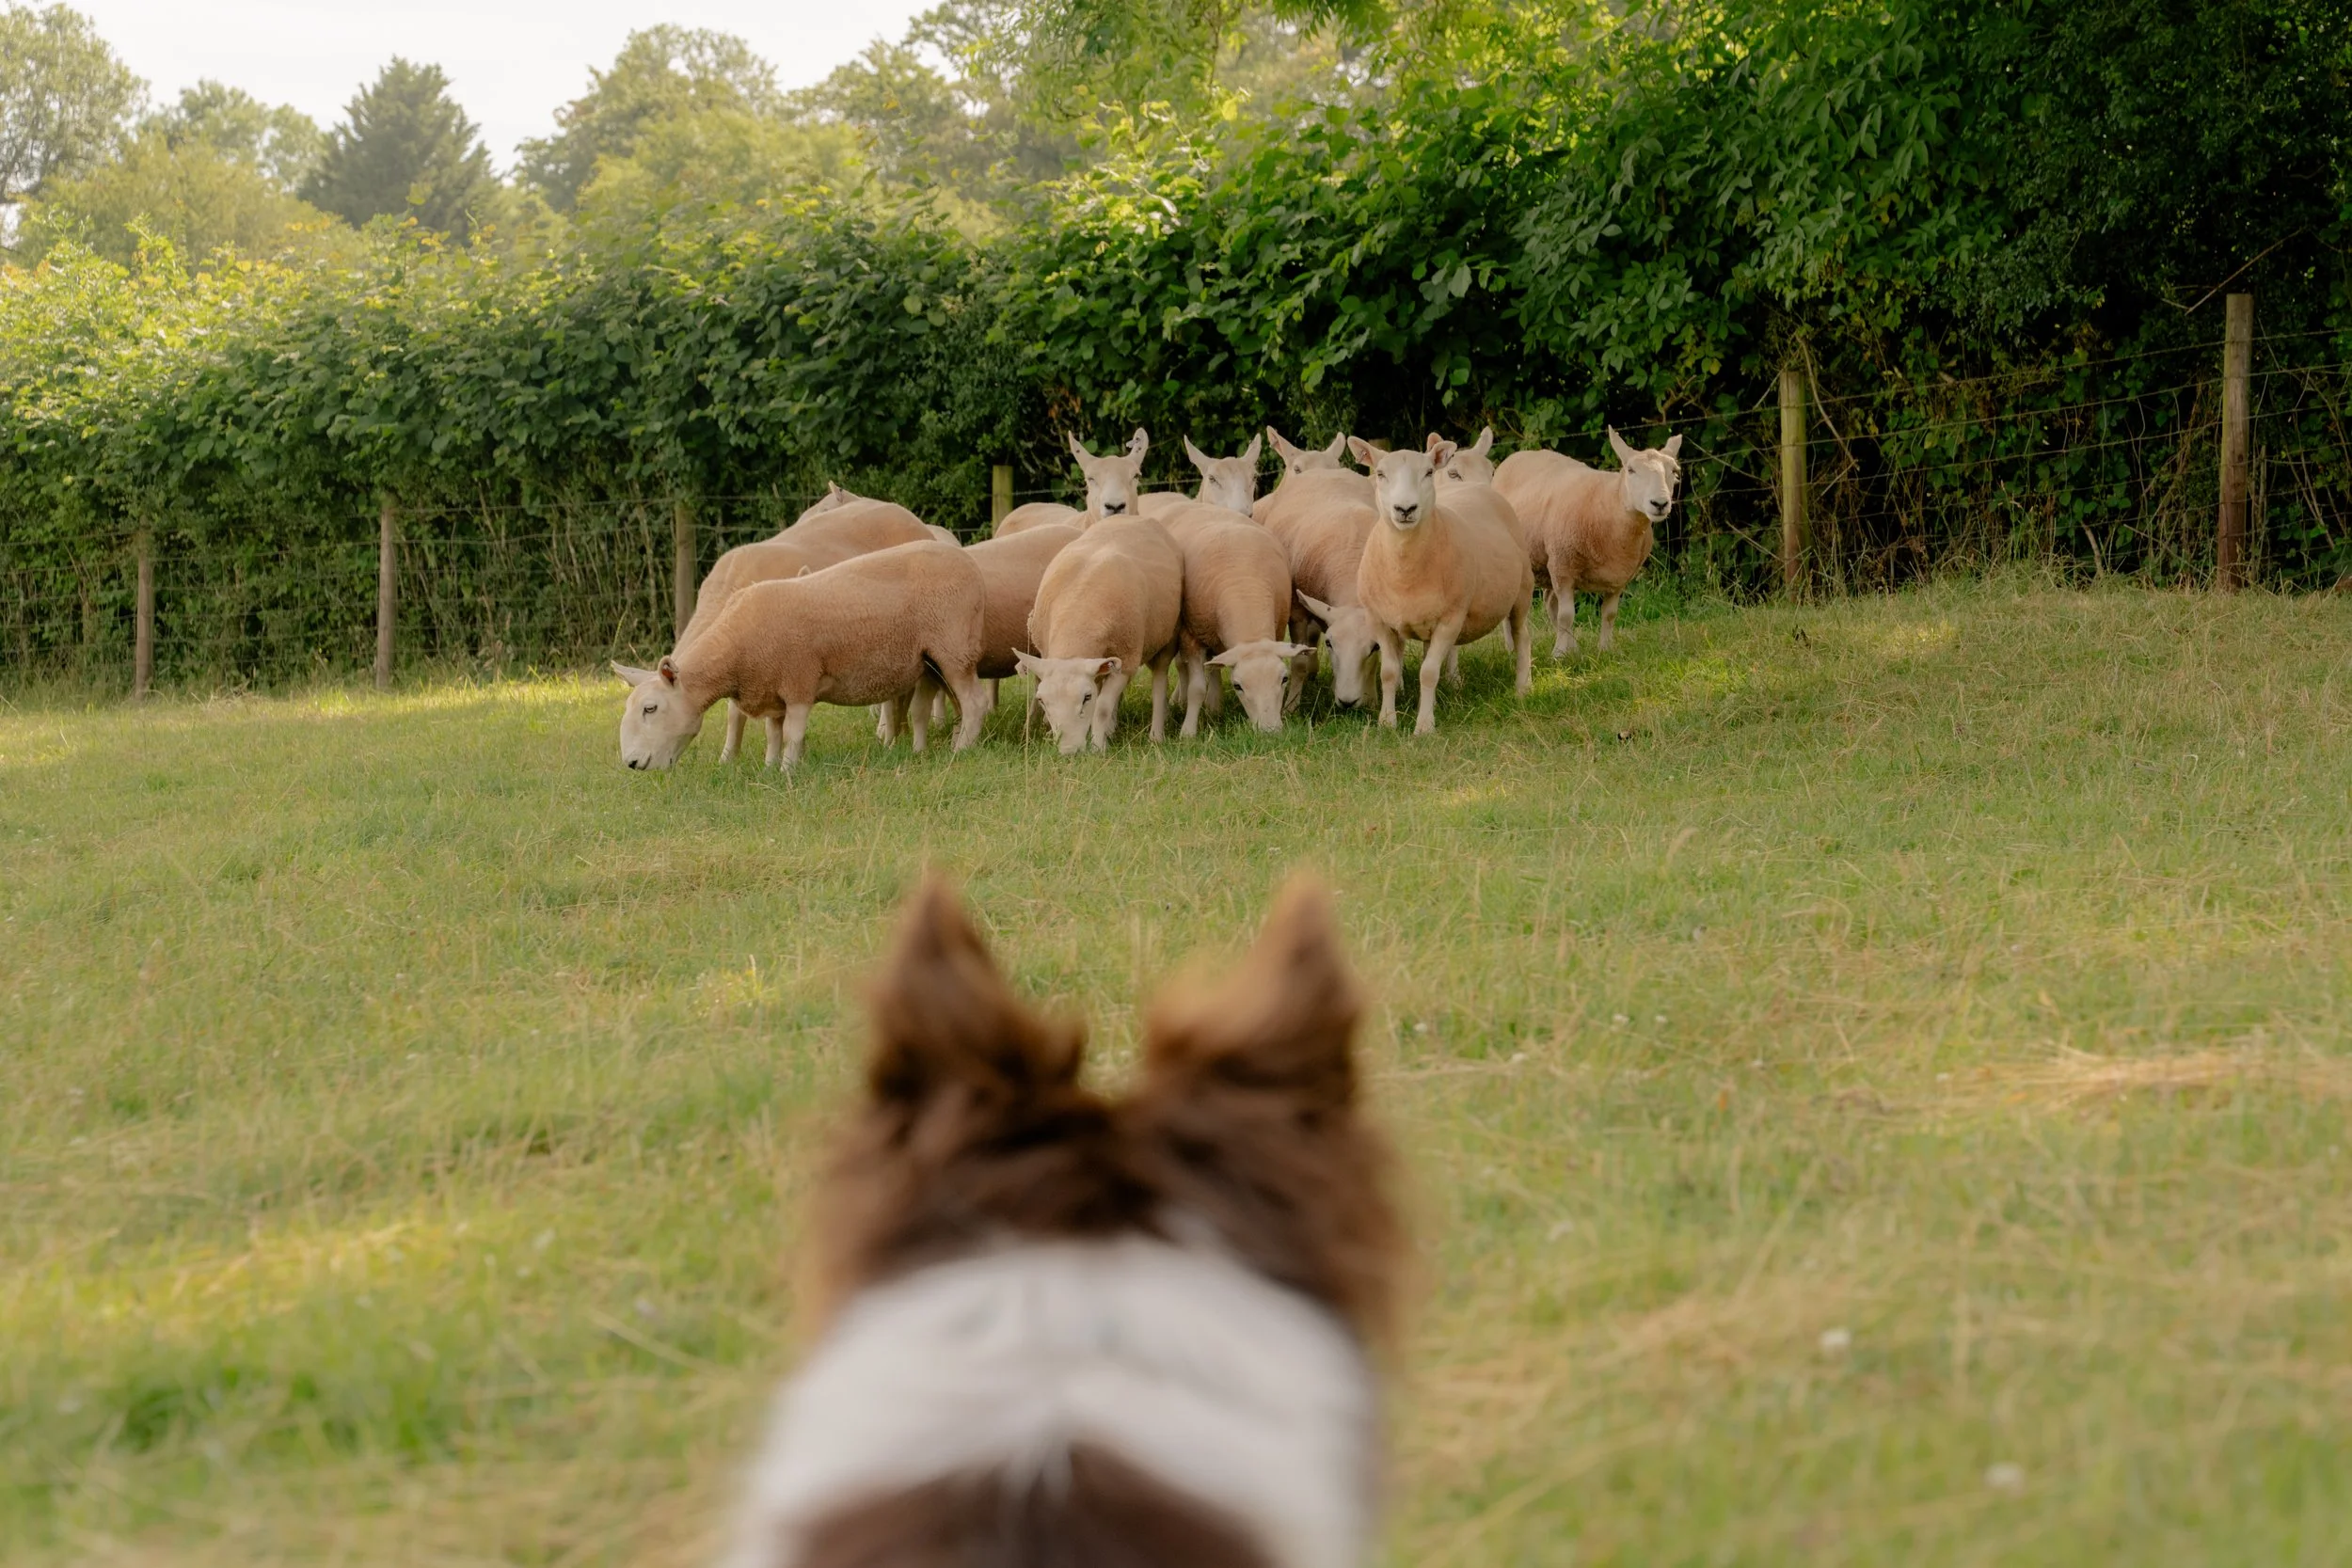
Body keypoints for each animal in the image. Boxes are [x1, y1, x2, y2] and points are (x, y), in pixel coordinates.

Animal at [614, 540, 987, 772]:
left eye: (650, 708)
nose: (631, 763)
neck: (737, 650)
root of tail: (969, 562)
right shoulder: (771, 688)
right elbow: (773, 734)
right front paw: (769, 767)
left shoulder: (798, 682)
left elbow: (794, 733)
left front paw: (789, 770)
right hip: (930, 661)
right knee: (938, 705)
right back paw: (926, 750)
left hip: (955, 649)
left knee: (974, 702)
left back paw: (961, 751)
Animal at [1018, 514, 1185, 755]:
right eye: (1041, 701)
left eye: (1086, 698)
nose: (1069, 752)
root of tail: (1133, 517)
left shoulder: (1127, 660)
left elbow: (1103, 706)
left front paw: (1097, 747)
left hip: (1169, 636)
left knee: (1159, 681)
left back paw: (1156, 735)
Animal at [1153, 500, 1308, 734]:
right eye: (1238, 686)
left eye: (1284, 679)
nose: (1270, 731)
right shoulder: (1191, 636)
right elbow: (1197, 688)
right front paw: (1188, 732)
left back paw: (1214, 707)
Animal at [1352, 436, 1533, 734]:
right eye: (1380, 474)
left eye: (1428, 473)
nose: (1405, 509)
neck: (1404, 566)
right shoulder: (1378, 620)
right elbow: (1388, 673)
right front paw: (1387, 722)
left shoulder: (1451, 619)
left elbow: (1428, 673)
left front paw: (1424, 726)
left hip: (1522, 594)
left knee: (1522, 637)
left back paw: (1523, 687)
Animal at [1494, 428, 1682, 656]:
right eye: (1630, 470)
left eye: (1674, 471)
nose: (1660, 503)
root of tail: (1517, 455)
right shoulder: (1563, 567)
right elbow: (1566, 615)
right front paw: (1558, 654)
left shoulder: (1618, 579)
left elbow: (1609, 615)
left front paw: (1605, 650)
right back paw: (1511, 648)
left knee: (1549, 602)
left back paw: (1573, 647)